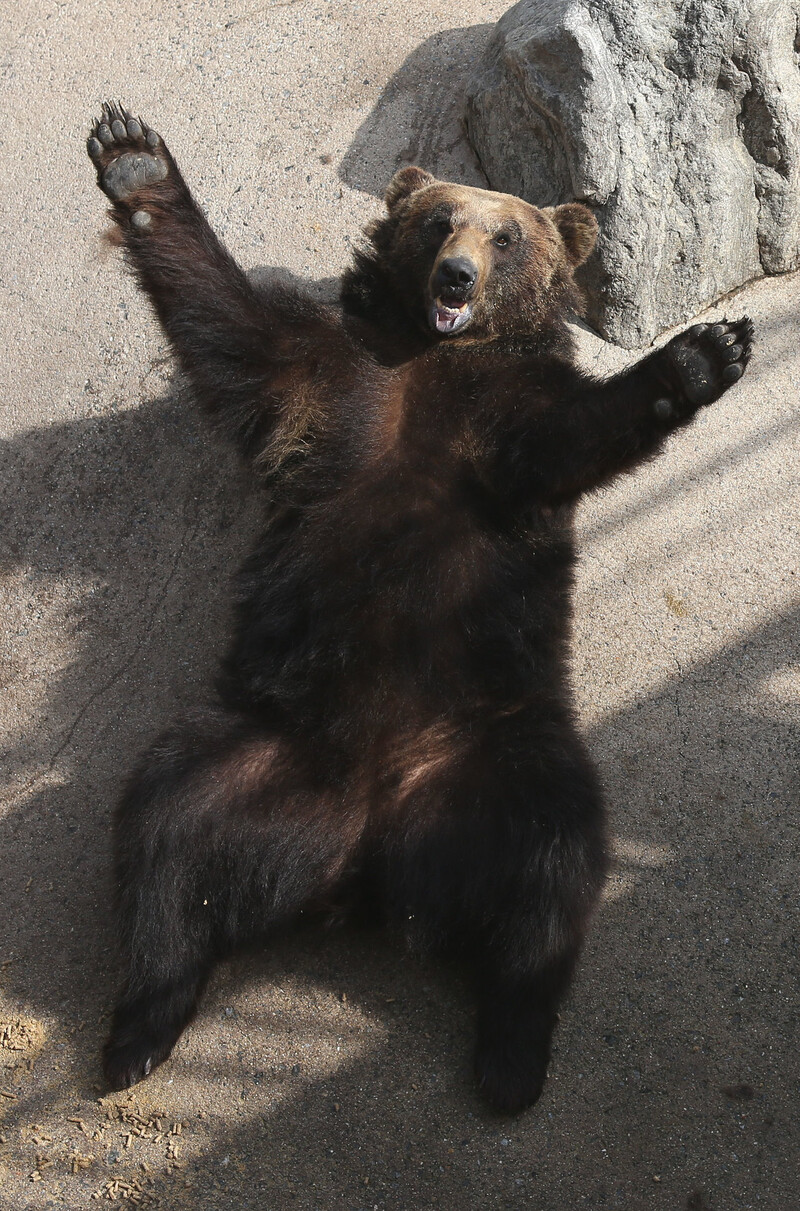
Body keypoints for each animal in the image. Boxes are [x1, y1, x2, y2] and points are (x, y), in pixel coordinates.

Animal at [85, 104, 750, 1114]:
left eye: (508, 236)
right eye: (439, 220)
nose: (456, 276)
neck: (438, 359)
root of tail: (363, 855)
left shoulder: (506, 432)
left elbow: (578, 434)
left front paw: (704, 353)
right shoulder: (331, 381)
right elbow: (229, 329)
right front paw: (132, 160)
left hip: (503, 741)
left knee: (554, 866)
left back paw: (512, 1055)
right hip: (257, 744)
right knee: (165, 836)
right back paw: (139, 1031)